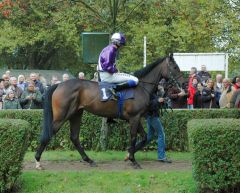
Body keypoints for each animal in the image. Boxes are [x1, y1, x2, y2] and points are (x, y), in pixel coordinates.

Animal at [34, 53, 184, 168]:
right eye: (175, 67)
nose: (183, 83)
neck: (141, 86)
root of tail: (58, 85)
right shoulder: (134, 117)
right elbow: (134, 137)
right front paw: (133, 160)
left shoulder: (135, 118)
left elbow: (144, 137)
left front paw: (128, 155)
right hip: (62, 116)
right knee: (48, 134)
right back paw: (37, 161)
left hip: (76, 114)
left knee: (74, 137)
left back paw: (89, 160)